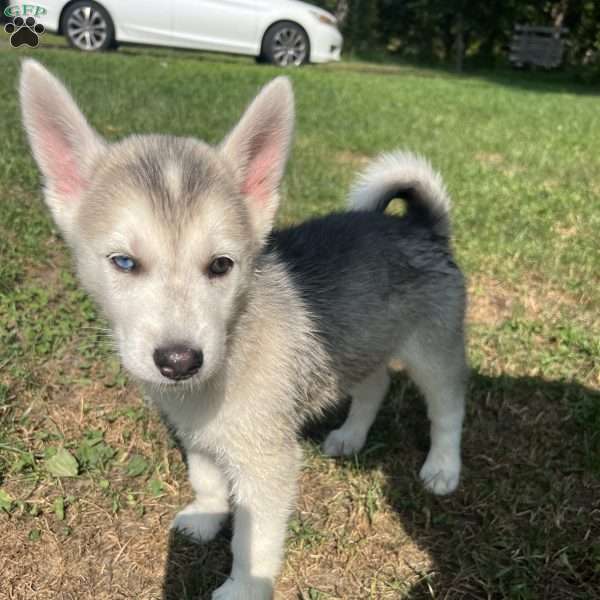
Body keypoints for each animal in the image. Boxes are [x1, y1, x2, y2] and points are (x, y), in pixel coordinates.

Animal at [19, 61, 468, 600]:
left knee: (448, 408)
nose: (179, 362)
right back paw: (349, 436)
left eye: (221, 265)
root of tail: (420, 226)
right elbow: (208, 479)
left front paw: (243, 587)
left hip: (433, 351)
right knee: (374, 384)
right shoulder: (198, 433)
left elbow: (253, 540)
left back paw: (442, 467)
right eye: (124, 262)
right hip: (361, 341)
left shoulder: (269, 463)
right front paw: (207, 516)